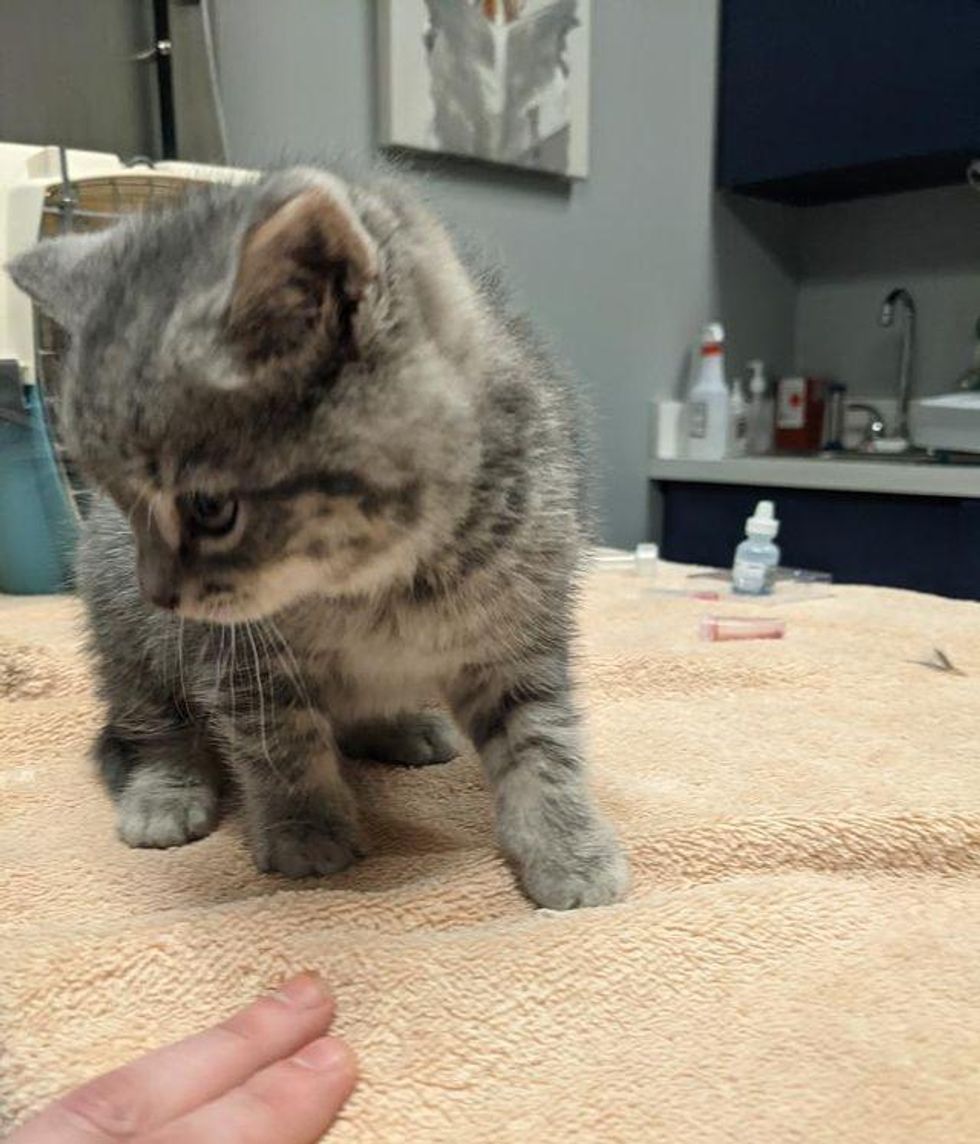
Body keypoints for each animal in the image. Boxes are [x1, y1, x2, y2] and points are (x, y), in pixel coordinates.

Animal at [7, 163, 626, 910]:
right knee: (149, 724)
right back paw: (164, 791)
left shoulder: (522, 626)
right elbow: (279, 739)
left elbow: (542, 737)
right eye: (122, 501)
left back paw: (397, 724)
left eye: (210, 508)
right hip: (120, 628)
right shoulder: (235, 655)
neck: (378, 580)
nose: (156, 591)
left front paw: (568, 843)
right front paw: (304, 827)